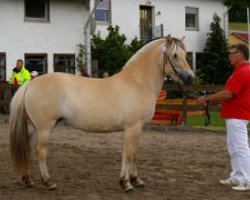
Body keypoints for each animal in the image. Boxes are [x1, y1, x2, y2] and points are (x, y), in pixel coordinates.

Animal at [9, 35, 193, 192]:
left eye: (186, 55)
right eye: (175, 55)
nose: (190, 77)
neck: (137, 83)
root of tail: (30, 84)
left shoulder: (138, 128)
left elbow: (134, 153)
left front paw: (136, 180)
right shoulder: (132, 127)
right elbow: (127, 154)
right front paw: (126, 184)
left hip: (33, 127)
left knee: (27, 147)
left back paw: (28, 180)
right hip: (44, 128)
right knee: (40, 151)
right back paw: (49, 183)